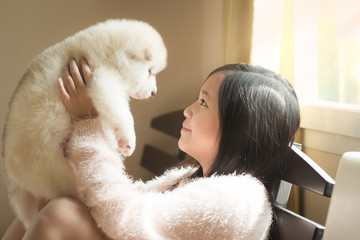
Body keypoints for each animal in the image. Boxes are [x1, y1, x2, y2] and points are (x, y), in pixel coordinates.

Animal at [1, 19, 167, 229]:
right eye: (149, 71)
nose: (154, 92)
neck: (110, 53)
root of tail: (9, 172)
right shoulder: (102, 81)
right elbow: (121, 114)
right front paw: (128, 141)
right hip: (52, 169)